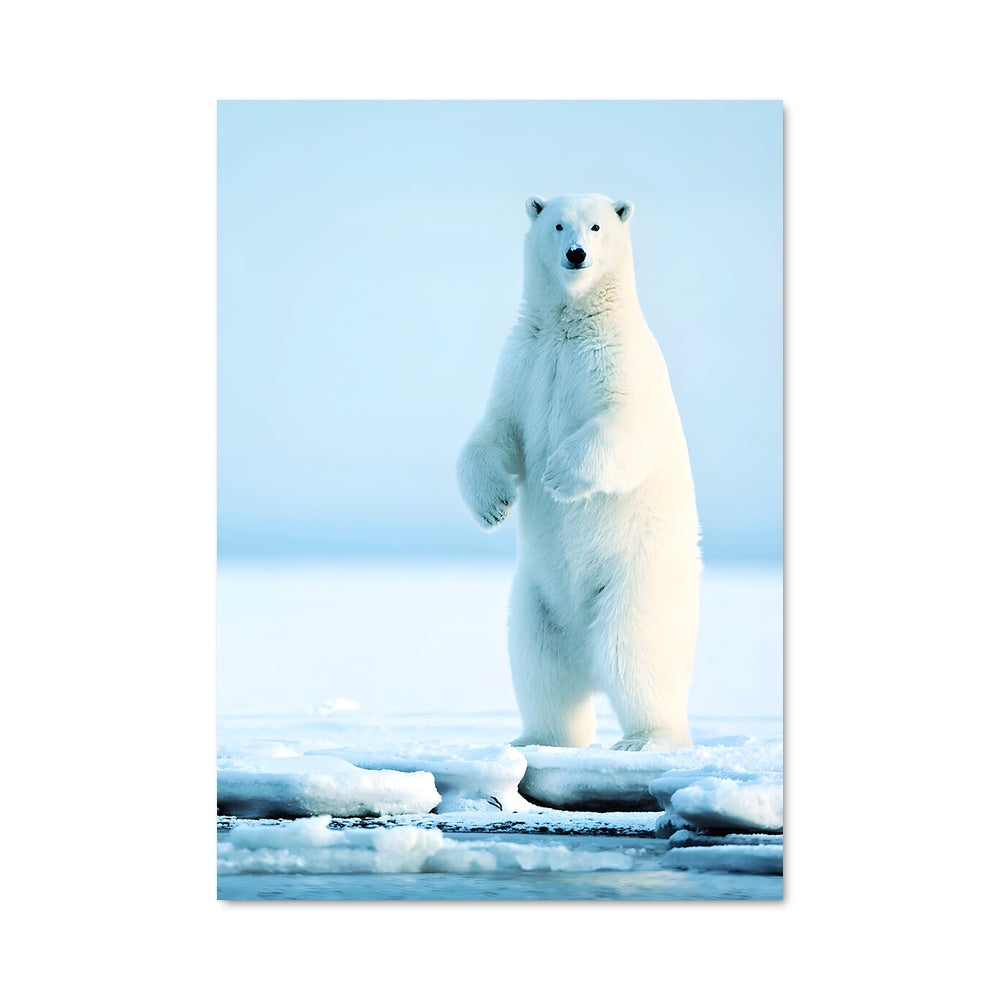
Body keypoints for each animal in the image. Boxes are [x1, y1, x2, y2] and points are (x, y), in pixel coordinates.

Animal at [457, 193, 701, 751]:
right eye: (557, 224)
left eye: (596, 226)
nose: (576, 254)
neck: (570, 325)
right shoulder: (524, 361)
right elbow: (496, 430)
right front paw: (493, 506)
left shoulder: (619, 360)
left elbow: (625, 425)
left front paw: (558, 476)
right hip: (535, 600)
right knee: (539, 667)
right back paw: (536, 738)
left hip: (636, 583)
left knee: (634, 654)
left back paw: (646, 738)